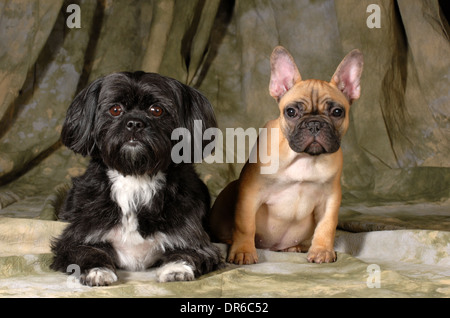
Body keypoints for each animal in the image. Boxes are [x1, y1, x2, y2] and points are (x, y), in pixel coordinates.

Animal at [50, 72, 223, 286]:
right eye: (115, 109)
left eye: (156, 110)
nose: (134, 123)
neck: (136, 177)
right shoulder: (75, 239)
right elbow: (89, 251)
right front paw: (98, 271)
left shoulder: (197, 241)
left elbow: (188, 252)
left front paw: (176, 268)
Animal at [210, 46, 362, 264]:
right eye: (291, 112)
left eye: (337, 112)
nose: (314, 124)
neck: (304, 158)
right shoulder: (250, 193)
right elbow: (245, 224)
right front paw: (243, 251)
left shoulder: (330, 198)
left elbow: (327, 225)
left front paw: (322, 250)